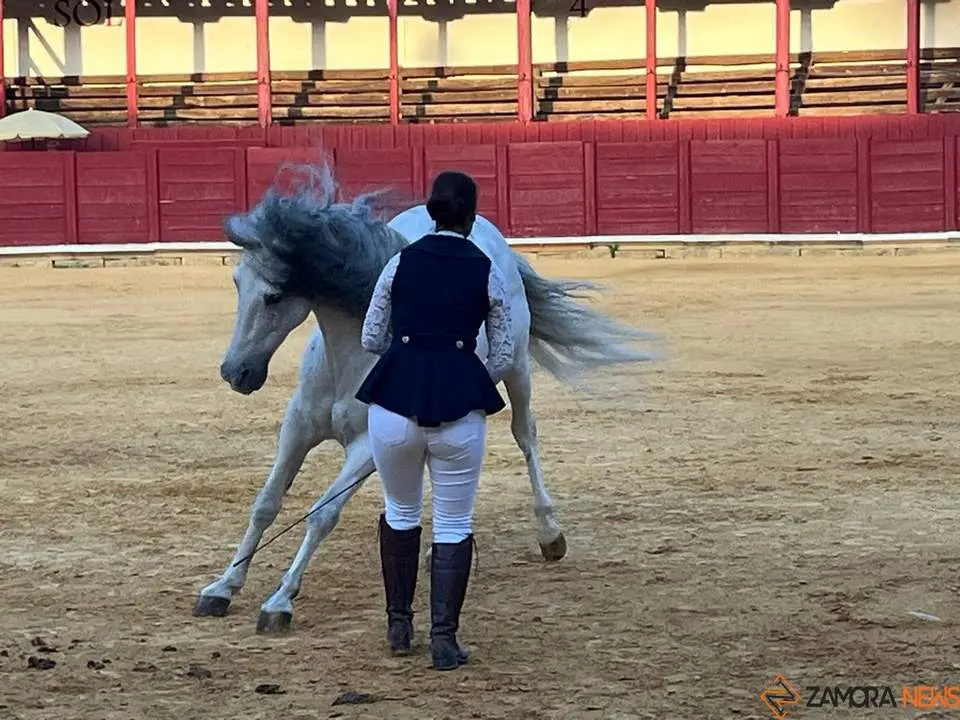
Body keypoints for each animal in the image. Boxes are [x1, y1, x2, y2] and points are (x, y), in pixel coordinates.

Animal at [192, 162, 657, 633]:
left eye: (274, 296)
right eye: (237, 283)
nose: (235, 372)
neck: (351, 357)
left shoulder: (367, 447)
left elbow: (323, 513)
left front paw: (280, 600)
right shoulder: (299, 426)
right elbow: (265, 504)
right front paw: (222, 587)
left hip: (517, 368)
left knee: (525, 436)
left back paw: (549, 533)